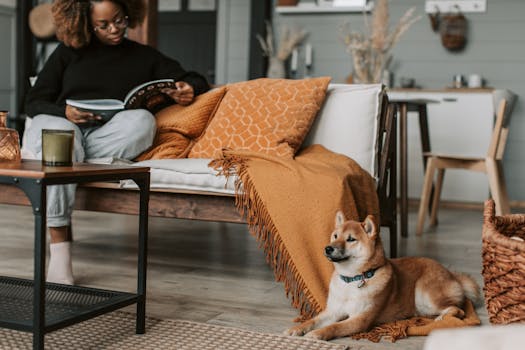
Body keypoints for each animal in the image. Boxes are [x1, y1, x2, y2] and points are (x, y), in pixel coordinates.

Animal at [284, 212, 482, 340]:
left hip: (423, 295)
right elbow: (312, 320)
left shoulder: (361, 319)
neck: (352, 280)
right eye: (335, 236)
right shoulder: (333, 311)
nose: (328, 248)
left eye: (350, 239)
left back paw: (442, 318)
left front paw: (318, 333)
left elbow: (335, 326)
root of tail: (451, 274)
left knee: (458, 309)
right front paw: (297, 328)